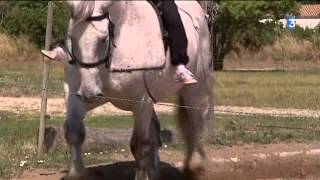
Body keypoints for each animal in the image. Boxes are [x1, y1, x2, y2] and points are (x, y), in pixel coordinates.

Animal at [61, 0, 214, 179]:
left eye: (103, 39)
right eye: (72, 37)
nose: (88, 92)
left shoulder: (141, 101)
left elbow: (139, 144)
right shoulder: (74, 94)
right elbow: (74, 133)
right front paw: (76, 173)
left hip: (194, 91)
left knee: (195, 123)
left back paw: (194, 166)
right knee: (156, 131)